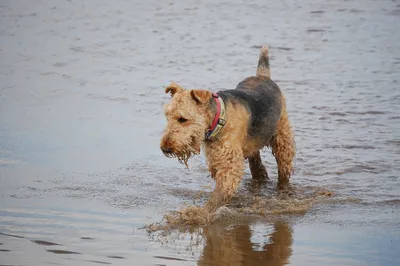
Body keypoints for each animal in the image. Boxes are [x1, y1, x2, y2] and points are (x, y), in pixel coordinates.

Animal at [161, 45, 296, 208]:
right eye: (167, 116)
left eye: (182, 119)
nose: (166, 148)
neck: (219, 119)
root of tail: (263, 76)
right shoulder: (217, 161)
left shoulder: (229, 164)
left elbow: (217, 196)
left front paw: (199, 212)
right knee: (256, 163)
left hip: (283, 139)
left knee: (283, 170)